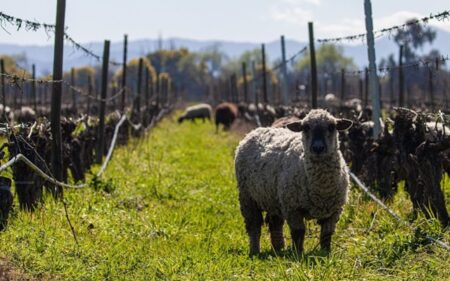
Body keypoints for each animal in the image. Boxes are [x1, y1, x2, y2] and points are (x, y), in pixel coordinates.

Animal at [234, 108, 354, 255]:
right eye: (305, 127)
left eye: (332, 127)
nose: (318, 148)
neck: (321, 187)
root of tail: (256, 130)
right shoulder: (292, 208)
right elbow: (298, 232)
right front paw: (298, 254)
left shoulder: (334, 211)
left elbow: (327, 235)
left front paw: (325, 253)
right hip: (247, 197)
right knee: (254, 225)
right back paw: (255, 251)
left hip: (274, 198)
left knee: (275, 223)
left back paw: (278, 248)